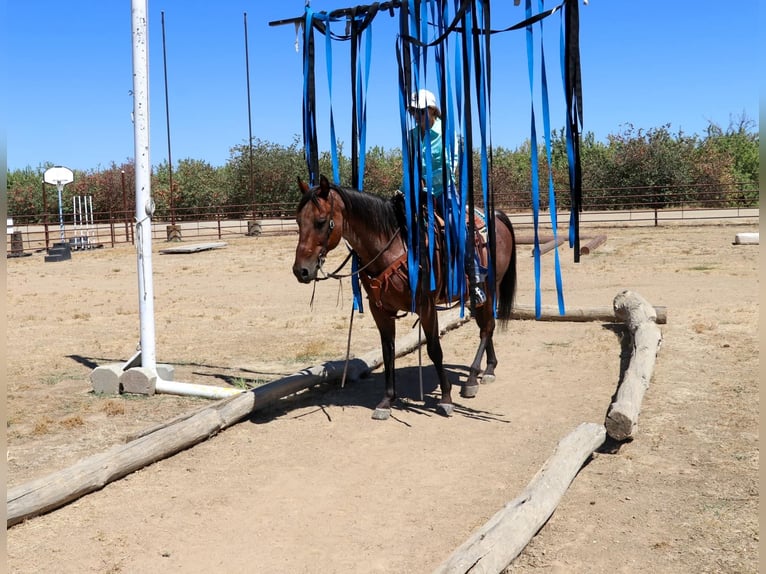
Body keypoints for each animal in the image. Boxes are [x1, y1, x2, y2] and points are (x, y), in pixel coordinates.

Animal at [292, 175, 517, 420]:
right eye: (298, 221)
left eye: (321, 221)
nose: (301, 270)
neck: (394, 247)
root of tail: (496, 216)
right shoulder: (379, 310)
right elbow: (388, 351)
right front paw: (386, 401)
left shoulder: (426, 307)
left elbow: (434, 350)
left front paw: (446, 399)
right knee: (486, 326)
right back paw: (489, 368)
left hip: (491, 287)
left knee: (487, 327)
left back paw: (472, 378)